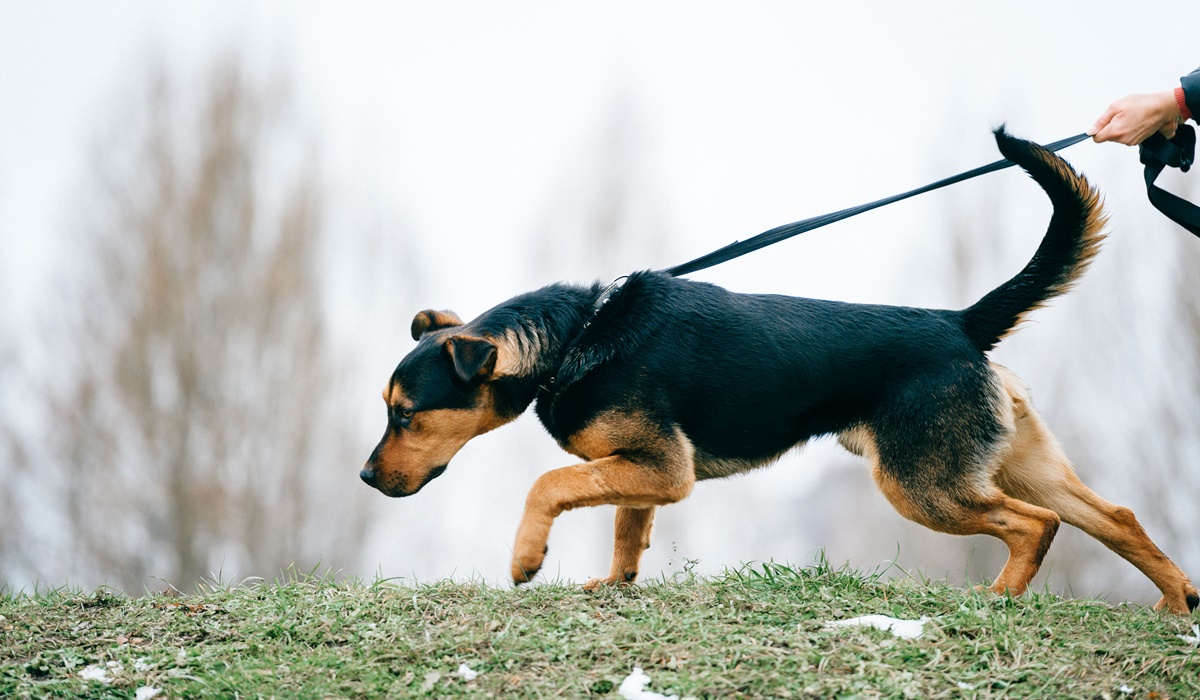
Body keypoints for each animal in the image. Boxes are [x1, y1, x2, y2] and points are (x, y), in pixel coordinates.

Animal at [362, 130, 1200, 614]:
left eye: (406, 414)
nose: (368, 479)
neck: (574, 338)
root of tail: (961, 322)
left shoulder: (659, 466)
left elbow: (549, 486)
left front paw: (526, 559)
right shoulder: (645, 469)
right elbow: (627, 527)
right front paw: (617, 583)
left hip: (922, 483)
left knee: (1037, 525)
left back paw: (1000, 600)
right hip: (1015, 463)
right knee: (1113, 517)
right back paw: (1175, 602)